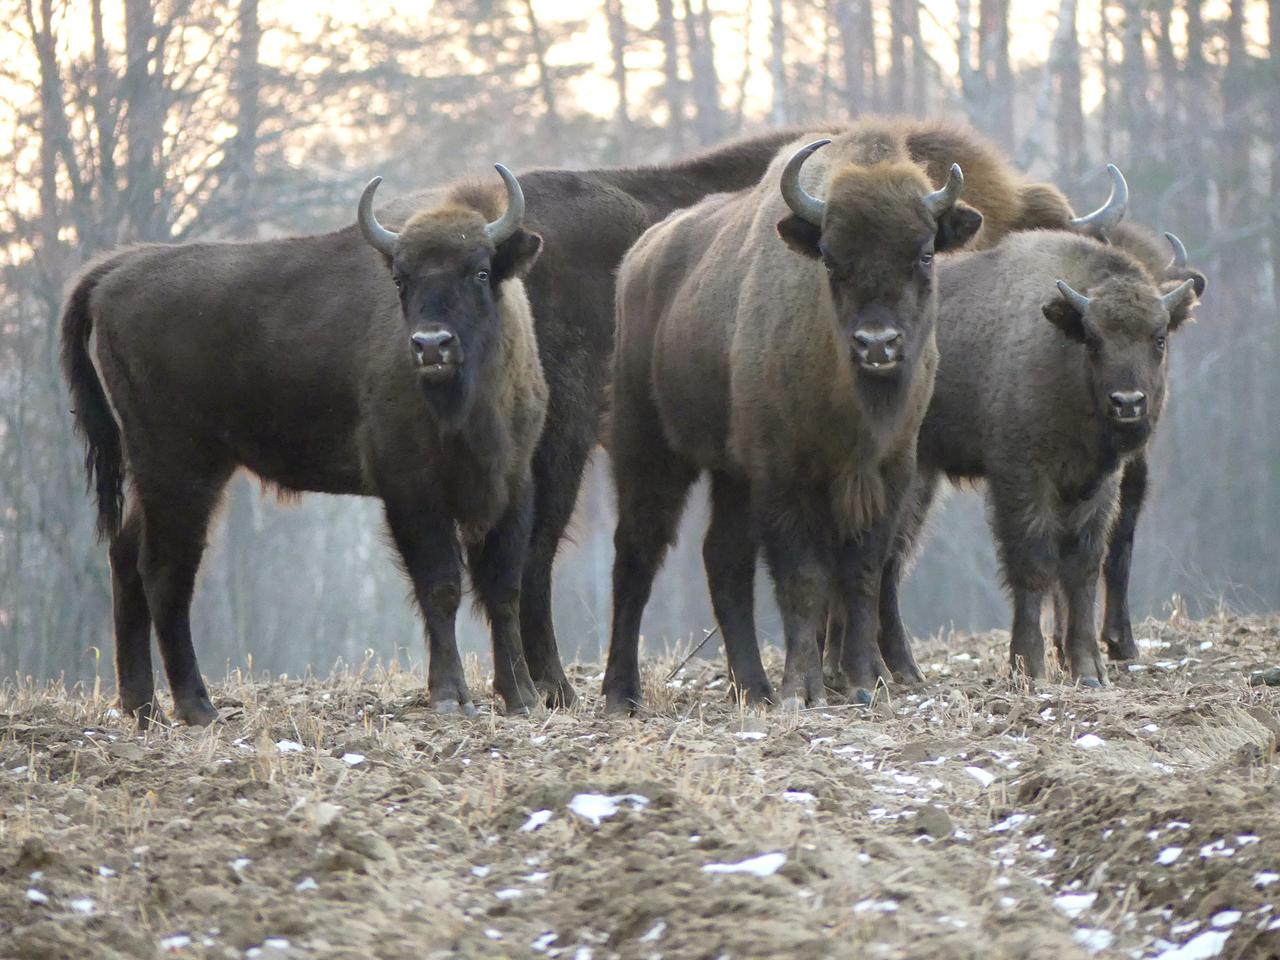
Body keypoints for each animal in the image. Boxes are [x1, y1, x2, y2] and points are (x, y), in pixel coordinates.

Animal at [62, 167, 547, 721]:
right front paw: (450, 697)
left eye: (481, 272)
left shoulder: (513, 482)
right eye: (400, 279)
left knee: (127, 556)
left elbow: (503, 587)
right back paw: (197, 707)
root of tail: (117, 270)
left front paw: (522, 697)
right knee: (166, 571)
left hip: (169, 474)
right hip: (178, 469)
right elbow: (441, 586)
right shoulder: (412, 489)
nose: (431, 346)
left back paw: (142, 707)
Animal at [601, 128, 988, 711]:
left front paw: (864, 681)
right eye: (828, 257)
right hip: (648, 450)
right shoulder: (784, 476)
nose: (877, 345)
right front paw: (800, 690)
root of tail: (636, 262)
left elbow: (862, 574)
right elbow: (803, 578)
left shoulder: (888, 473)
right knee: (638, 552)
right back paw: (621, 694)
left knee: (724, 559)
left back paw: (753, 687)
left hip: (730, 475)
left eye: (924, 254)